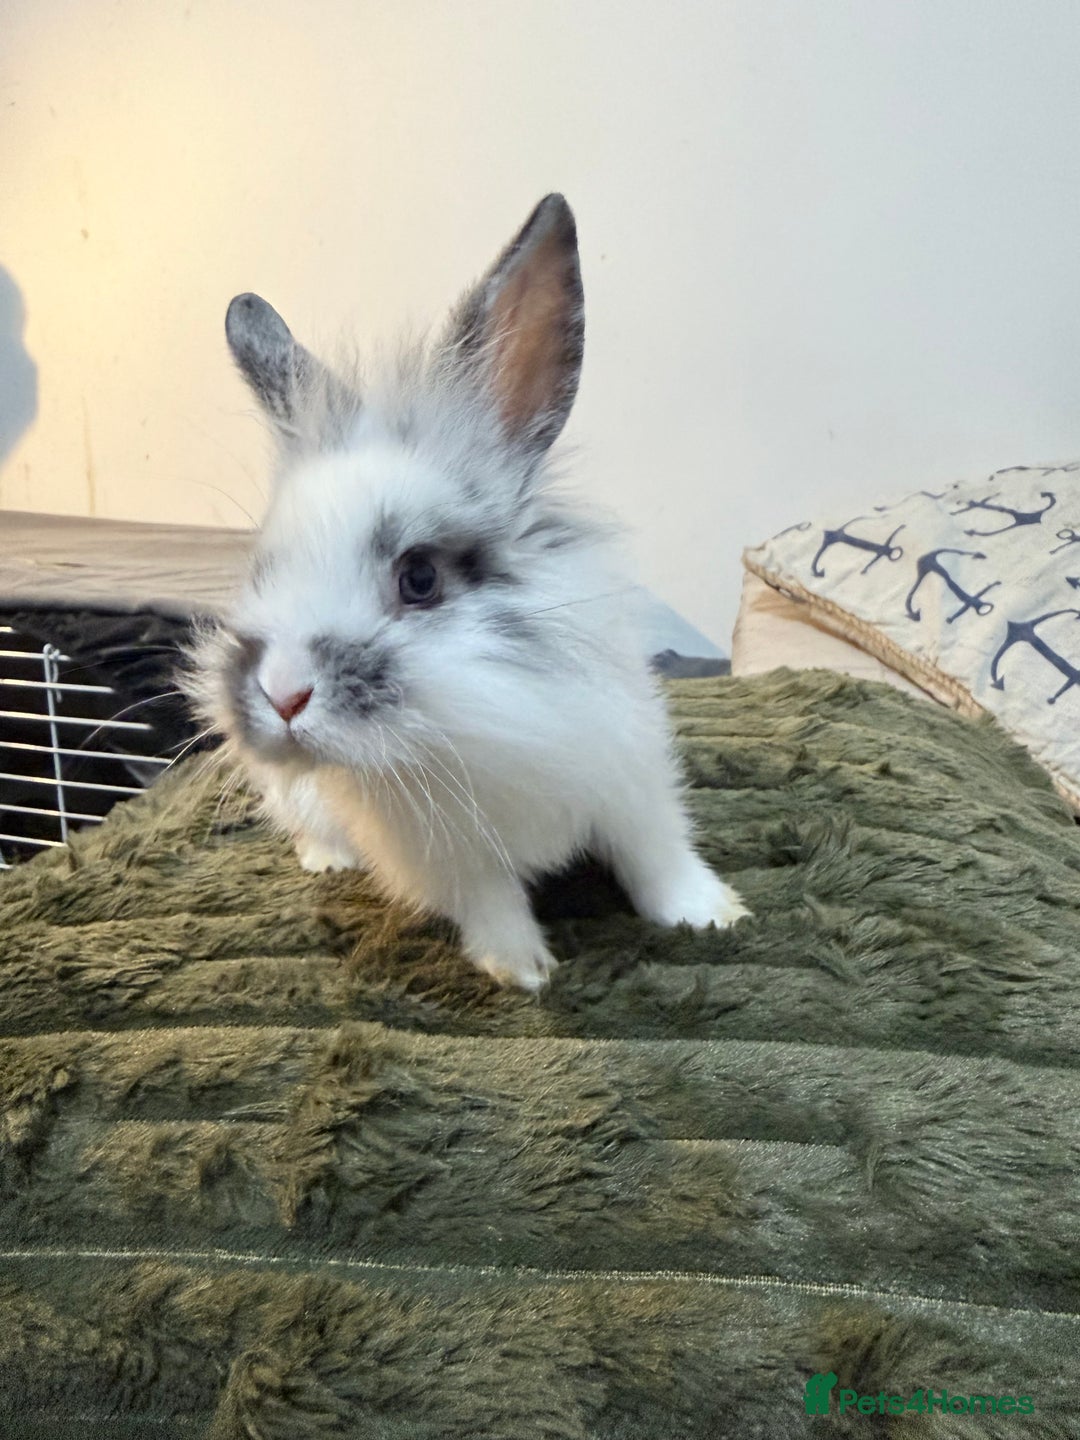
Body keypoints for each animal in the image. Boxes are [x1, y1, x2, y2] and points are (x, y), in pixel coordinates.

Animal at [188, 194, 749, 991]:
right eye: (263, 573)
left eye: (420, 577)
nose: (283, 696)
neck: (477, 731)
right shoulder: (450, 857)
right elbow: (493, 904)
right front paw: (523, 972)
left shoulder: (633, 784)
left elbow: (657, 859)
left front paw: (710, 916)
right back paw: (330, 860)